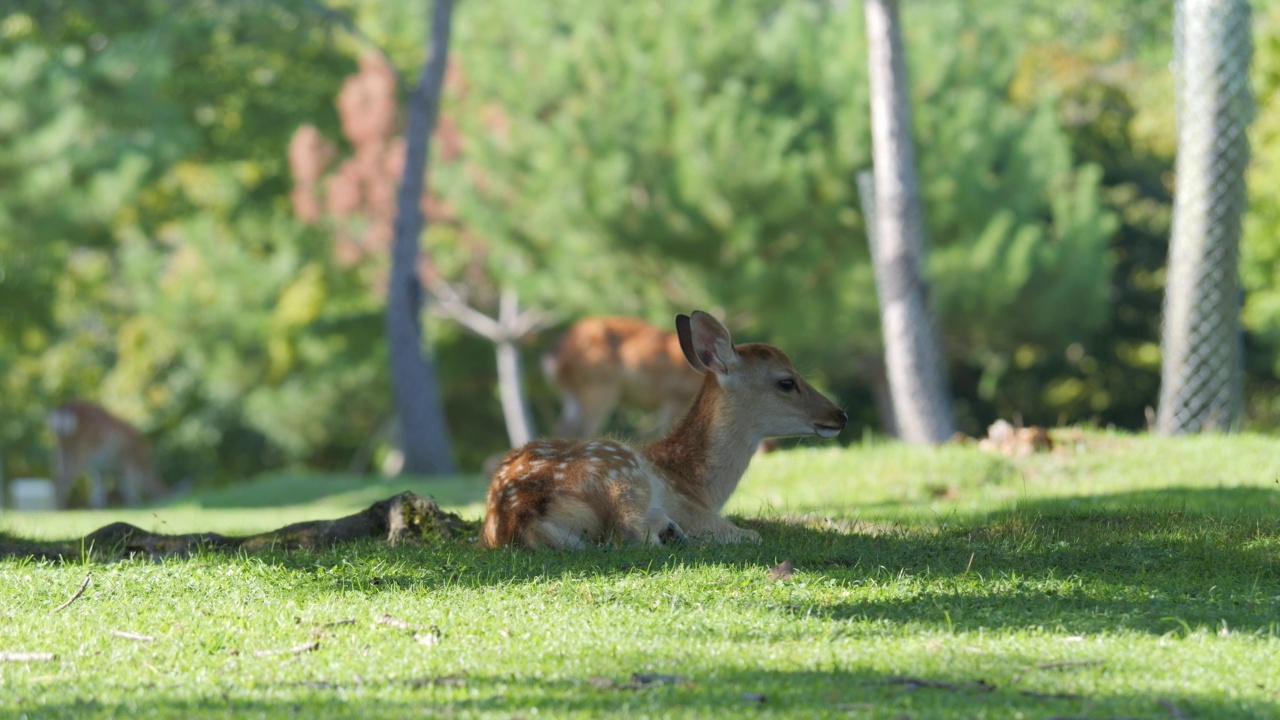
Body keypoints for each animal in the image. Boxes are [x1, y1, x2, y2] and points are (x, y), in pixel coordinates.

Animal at [537, 315, 701, 438]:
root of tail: (552, 357)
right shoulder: (675, 396)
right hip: (599, 386)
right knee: (585, 429)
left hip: (573, 393)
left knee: (563, 427)